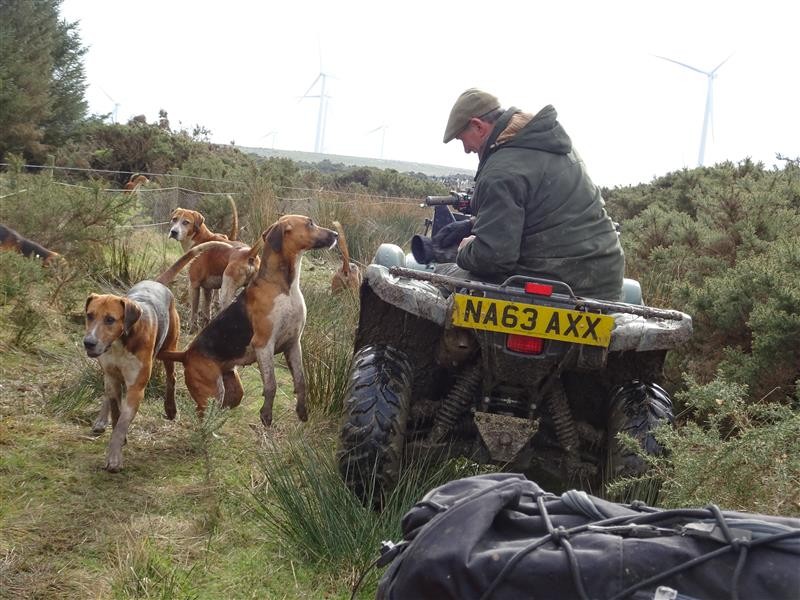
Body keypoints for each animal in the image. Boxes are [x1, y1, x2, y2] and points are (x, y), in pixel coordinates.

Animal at [83, 274, 180, 472]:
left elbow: (121, 423)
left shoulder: (136, 388)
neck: (120, 342)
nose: (88, 342)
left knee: (171, 377)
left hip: (170, 349)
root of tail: (157, 282)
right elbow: (116, 412)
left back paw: (170, 408)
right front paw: (117, 438)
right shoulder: (112, 376)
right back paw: (101, 421)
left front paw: (114, 458)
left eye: (110, 319)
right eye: (89, 315)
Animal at [159, 215, 337, 427]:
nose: (336, 234)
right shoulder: (264, 345)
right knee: (202, 414)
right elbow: (271, 384)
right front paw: (266, 414)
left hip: (233, 390)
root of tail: (186, 354)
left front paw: (302, 411)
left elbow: (301, 382)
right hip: (213, 390)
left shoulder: (293, 343)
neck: (285, 288)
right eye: (310, 223)